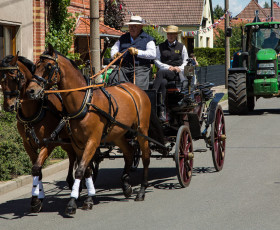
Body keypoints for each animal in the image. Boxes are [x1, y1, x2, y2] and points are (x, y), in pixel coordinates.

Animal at [0, 53, 77, 212]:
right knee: (72, 156)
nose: (8, 106)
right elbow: (37, 169)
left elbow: (36, 168)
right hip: (65, 141)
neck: (35, 110)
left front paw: (36, 200)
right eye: (0, 79)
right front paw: (37, 197)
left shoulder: (48, 143)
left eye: (15, 77)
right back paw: (71, 180)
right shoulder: (27, 144)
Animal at [26, 44, 152, 215]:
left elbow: (80, 170)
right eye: (35, 66)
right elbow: (86, 170)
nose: (31, 91)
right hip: (118, 135)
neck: (84, 102)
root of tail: (136, 89)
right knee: (129, 153)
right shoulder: (78, 143)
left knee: (145, 156)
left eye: (48, 66)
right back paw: (126, 186)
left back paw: (142, 190)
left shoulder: (92, 141)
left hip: (142, 131)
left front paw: (73, 202)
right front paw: (88, 198)